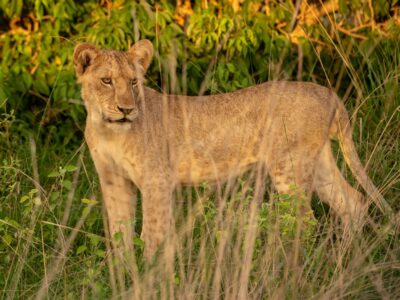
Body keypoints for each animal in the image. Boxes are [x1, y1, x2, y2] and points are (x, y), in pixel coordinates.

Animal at [73, 38, 390, 258]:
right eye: (106, 81)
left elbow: (152, 233)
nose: (126, 110)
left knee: (307, 221)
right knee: (354, 201)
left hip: (288, 167)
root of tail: (327, 93)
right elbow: (120, 232)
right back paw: (345, 258)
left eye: (134, 82)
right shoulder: (115, 182)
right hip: (316, 161)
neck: (109, 132)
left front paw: (150, 275)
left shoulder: (157, 181)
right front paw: (124, 273)